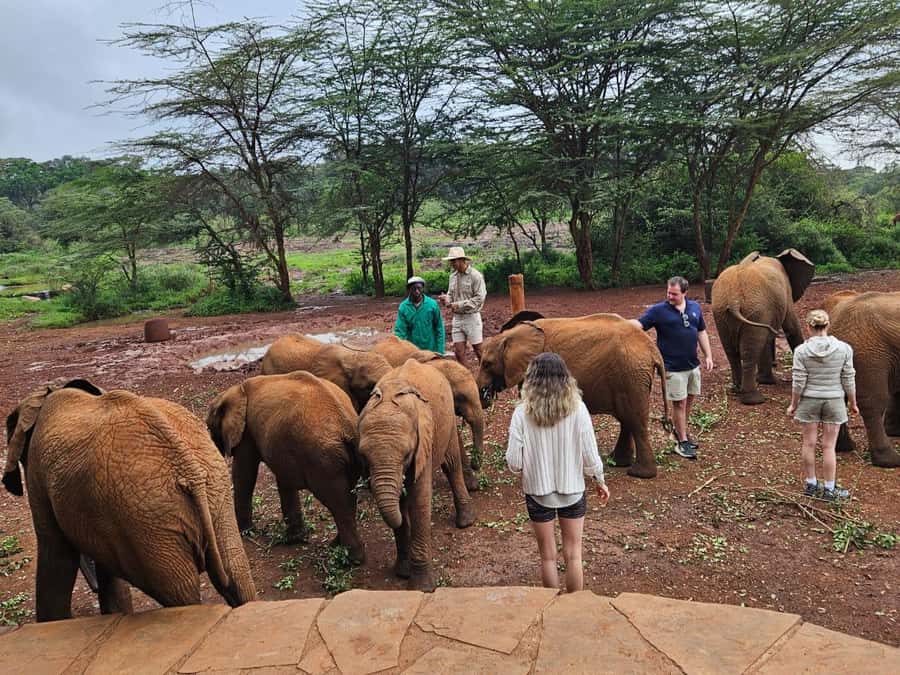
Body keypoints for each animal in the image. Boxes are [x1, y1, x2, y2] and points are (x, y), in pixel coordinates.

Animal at [3, 379, 256, 622]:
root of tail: (188, 468)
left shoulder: (38, 473)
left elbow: (56, 555)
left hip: (151, 524)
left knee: (181, 596)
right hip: (213, 494)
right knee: (236, 574)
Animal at [206, 371, 365, 563]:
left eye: (209, 427)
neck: (236, 390)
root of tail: (347, 426)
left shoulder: (247, 432)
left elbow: (244, 473)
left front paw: (245, 532)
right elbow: (284, 479)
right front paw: (294, 539)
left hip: (325, 460)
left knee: (339, 502)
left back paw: (351, 560)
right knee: (349, 497)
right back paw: (336, 547)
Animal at [357, 359, 476, 591]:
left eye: (406, 455)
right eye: (364, 457)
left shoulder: (423, 445)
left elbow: (419, 500)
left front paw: (422, 587)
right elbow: (401, 508)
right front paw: (402, 573)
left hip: (447, 420)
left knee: (451, 465)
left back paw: (466, 522)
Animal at [477, 314, 670, 479]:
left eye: (487, 364)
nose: (485, 395)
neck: (512, 335)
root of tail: (652, 349)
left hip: (630, 374)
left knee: (635, 420)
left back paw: (639, 474)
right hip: (631, 377)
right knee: (627, 419)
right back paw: (617, 462)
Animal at [711, 249, 814, 404]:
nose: (775, 364)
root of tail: (734, 298)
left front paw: (765, 381)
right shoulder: (785, 294)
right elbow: (791, 327)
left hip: (722, 311)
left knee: (732, 352)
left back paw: (736, 390)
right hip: (754, 309)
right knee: (750, 352)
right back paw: (754, 400)